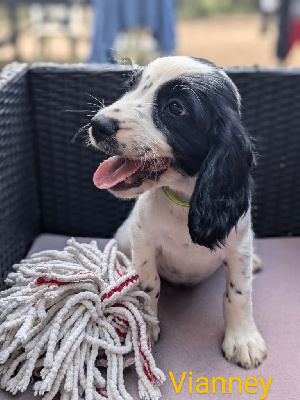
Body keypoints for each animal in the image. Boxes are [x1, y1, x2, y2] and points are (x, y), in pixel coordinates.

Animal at [89, 55, 268, 368]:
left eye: (175, 108)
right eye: (132, 87)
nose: (97, 124)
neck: (183, 200)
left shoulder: (239, 247)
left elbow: (238, 294)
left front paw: (243, 339)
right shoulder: (144, 240)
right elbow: (148, 284)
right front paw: (144, 327)